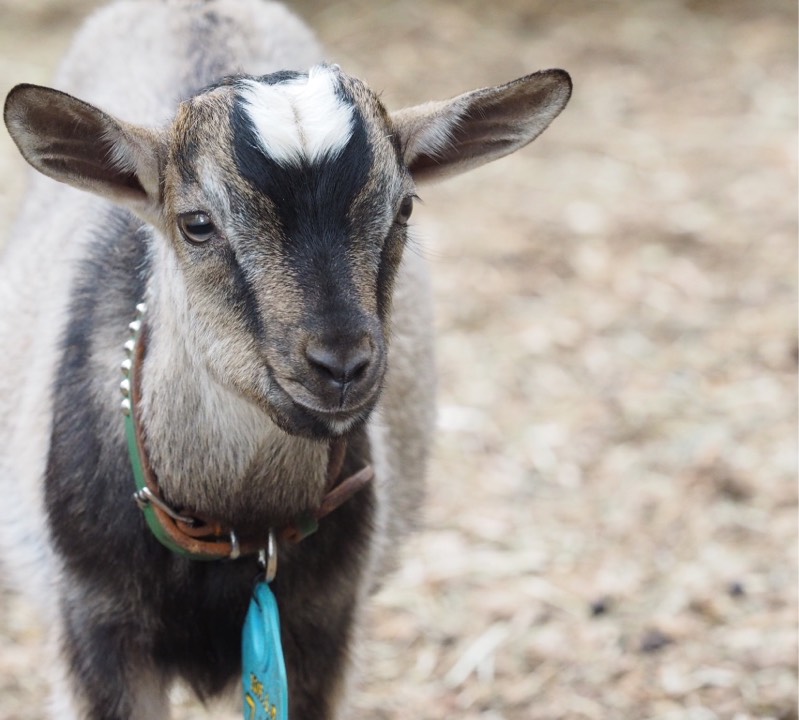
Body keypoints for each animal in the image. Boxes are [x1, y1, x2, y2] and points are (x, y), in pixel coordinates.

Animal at [1, 1, 576, 720]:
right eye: (196, 223)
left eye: (404, 208)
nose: (340, 366)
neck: (235, 515)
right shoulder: (95, 631)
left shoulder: (321, 626)